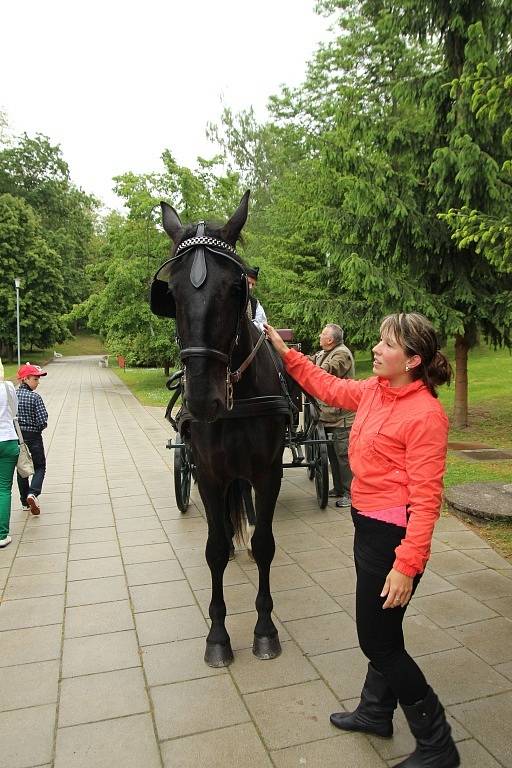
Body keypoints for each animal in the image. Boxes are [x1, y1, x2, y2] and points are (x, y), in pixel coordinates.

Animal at [150, 192, 290, 664]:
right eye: (170, 294)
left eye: (235, 288)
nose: (201, 398)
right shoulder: (208, 473)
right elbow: (212, 549)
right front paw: (218, 636)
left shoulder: (268, 472)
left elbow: (265, 543)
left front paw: (265, 630)